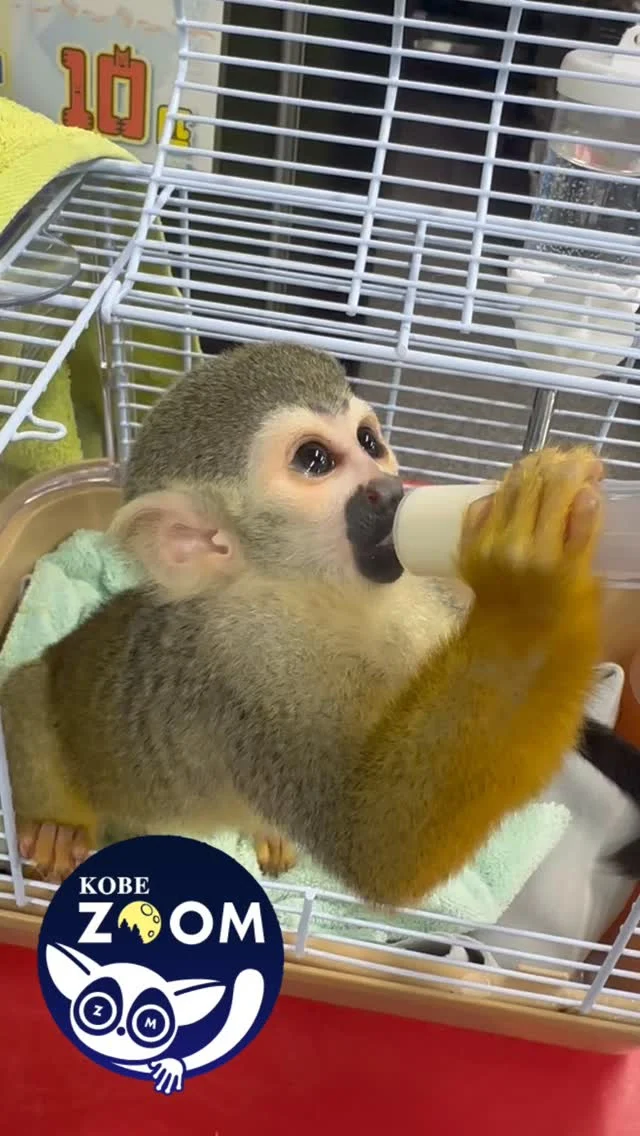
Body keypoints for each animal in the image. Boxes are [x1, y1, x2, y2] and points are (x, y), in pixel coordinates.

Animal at [0, 342, 607, 905]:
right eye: (314, 459)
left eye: (369, 442)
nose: (392, 489)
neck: (326, 597)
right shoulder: (252, 666)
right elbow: (376, 845)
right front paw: (529, 589)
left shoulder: (418, 601)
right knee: (26, 697)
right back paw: (57, 827)